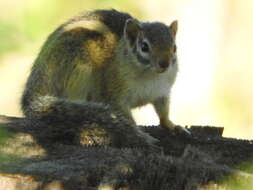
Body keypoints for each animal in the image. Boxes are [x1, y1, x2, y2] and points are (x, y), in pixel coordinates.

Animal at [21, 8, 188, 145]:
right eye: (144, 47)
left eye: (174, 47)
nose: (165, 64)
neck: (149, 75)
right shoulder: (116, 95)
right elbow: (125, 117)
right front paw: (139, 134)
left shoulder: (162, 93)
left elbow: (163, 112)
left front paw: (173, 126)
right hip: (77, 71)